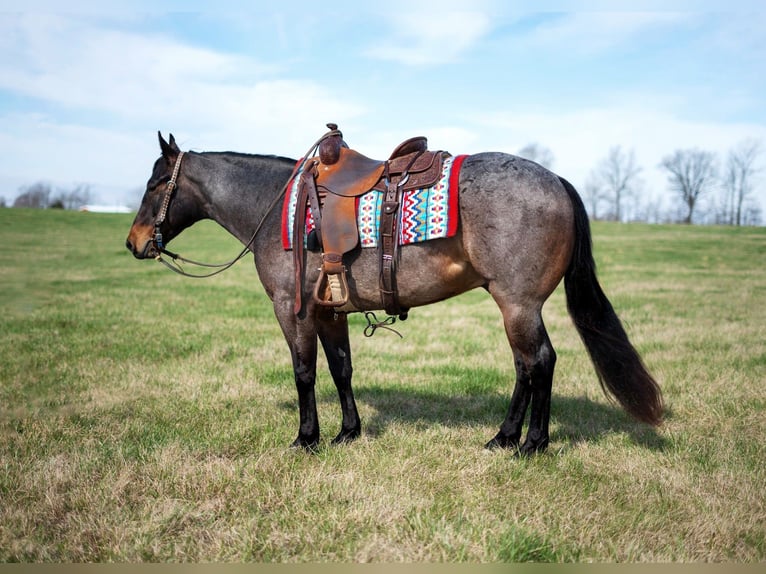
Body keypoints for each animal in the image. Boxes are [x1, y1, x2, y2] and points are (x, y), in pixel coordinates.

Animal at [126, 130, 664, 454]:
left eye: (154, 184)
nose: (134, 242)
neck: (278, 206)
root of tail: (557, 180)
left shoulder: (292, 310)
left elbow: (304, 373)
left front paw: (306, 438)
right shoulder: (330, 311)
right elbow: (340, 369)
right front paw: (347, 432)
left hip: (518, 304)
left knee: (540, 363)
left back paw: (532, 443)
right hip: (515, 306)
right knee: (524, 367)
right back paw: (505, 437)